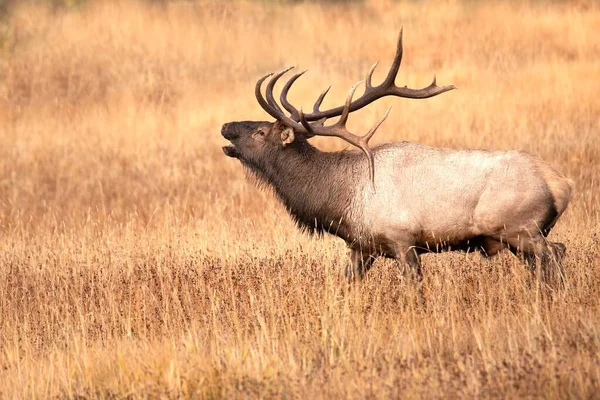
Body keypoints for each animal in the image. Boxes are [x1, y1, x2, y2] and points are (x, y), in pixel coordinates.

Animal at [220, 30, 572, 282]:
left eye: (260, 132)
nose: (226, 126)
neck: (339, 200)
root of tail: (562, 185)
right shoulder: (360, 247)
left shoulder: (403, 241)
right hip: (519, 238)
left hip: (521, 228)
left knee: (556, 254)